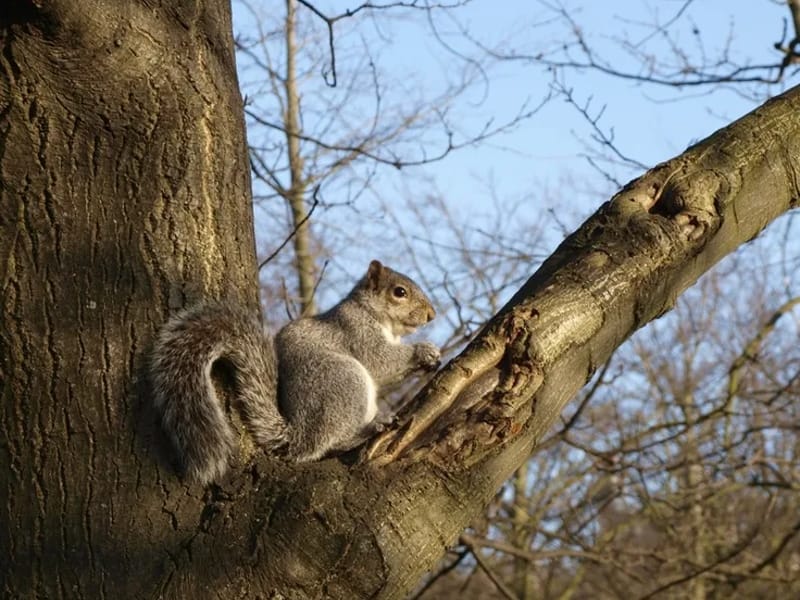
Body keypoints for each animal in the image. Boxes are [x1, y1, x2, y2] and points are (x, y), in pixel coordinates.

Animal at [149, 260, 440, 485]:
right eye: (399, 292)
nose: (432, 315)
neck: (373, 314)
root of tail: (297, 433)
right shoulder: (355, 330)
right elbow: (380, 359)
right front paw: (424, 350)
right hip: (344, 381)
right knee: (328, 443)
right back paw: (369, 429)